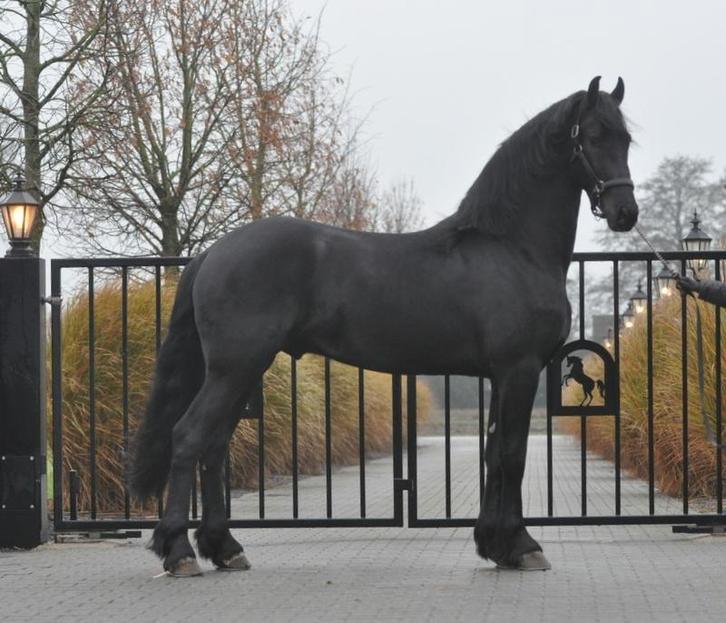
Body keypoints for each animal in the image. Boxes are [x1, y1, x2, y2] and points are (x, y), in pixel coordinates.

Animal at [129, 76, 638, 575]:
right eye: (595, 136)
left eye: (626, 139)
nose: (625, 213)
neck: (511, 249)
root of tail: (213, 252)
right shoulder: (519, 370)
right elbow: (512, 455)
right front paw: (521, 546)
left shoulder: (501, 376)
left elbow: (494, 453)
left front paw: (495, 544)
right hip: (235, 367)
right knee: (189, 437)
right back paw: (179, 553)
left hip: (242, 370)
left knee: (214, 447)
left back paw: (225, 548)